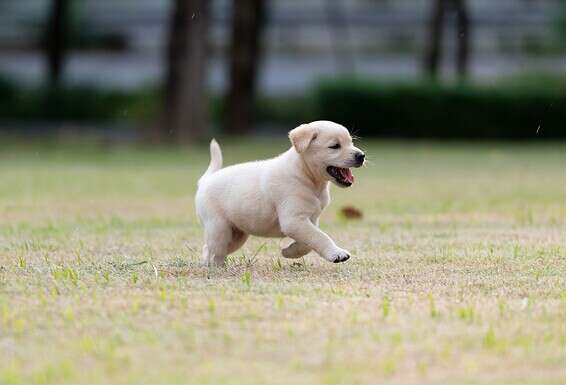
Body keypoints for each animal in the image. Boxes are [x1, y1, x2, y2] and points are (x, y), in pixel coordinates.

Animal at [196, 121, 368, 266]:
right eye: (335, 146)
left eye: (351, 142)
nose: (361, 156)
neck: (307, 177)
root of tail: (206, 180)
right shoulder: (293, 220)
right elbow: (319, 236)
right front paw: (336, 253)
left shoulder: (309, 220)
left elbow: (308, 243)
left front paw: (289, 252)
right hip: (219, 229)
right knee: (212, 250)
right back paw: (212, 266)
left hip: (236, 236)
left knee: (212, 250)